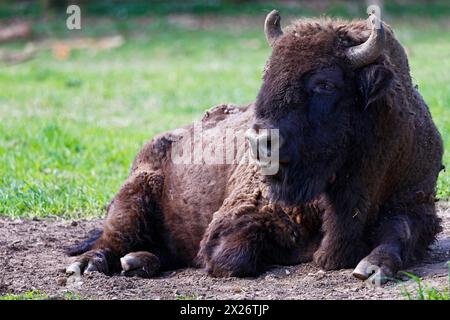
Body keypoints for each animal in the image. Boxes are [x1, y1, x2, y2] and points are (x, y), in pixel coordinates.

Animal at [65, 10, 444, 284]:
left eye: (325, 84)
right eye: (268, 74)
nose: (260, 141)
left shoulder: (417, 205)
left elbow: (399, 232)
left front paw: (372, 267)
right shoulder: (240, 218)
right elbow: (232, 256)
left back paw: (137, 262)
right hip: (133, 197)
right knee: (111, 238)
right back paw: (88, 265)